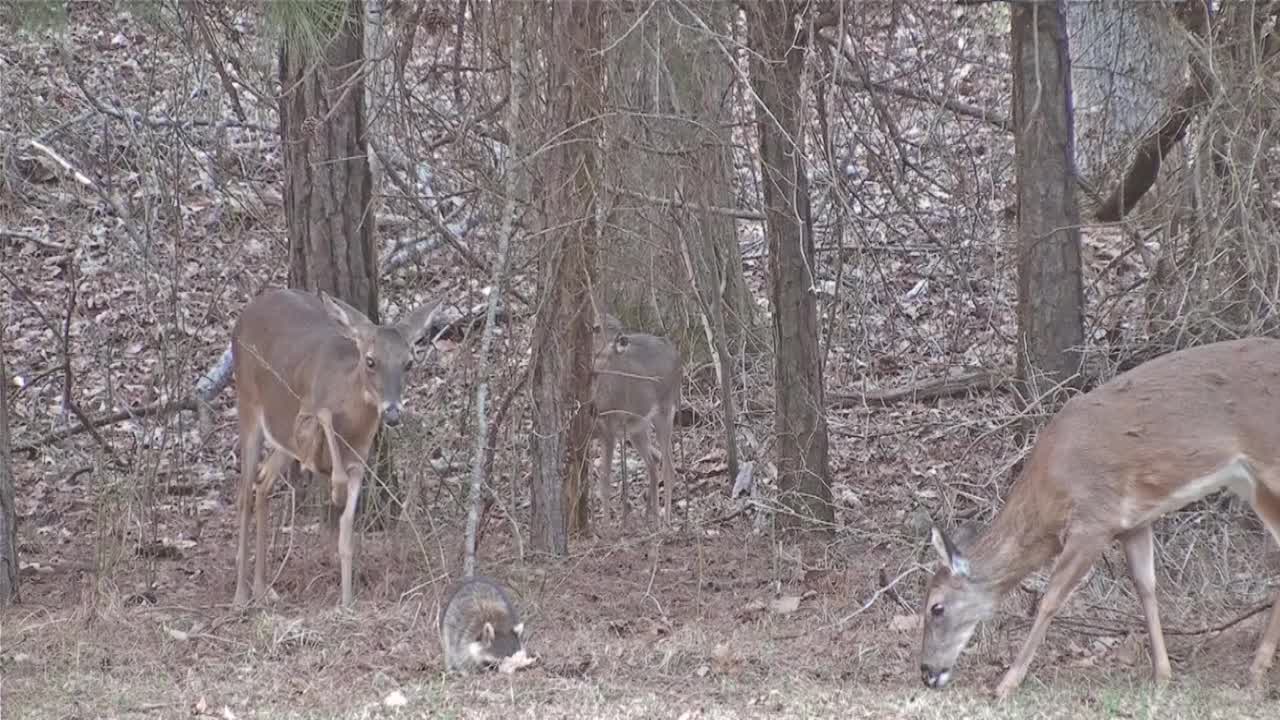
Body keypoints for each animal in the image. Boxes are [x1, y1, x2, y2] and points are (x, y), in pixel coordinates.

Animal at [225, 285, 435, 604]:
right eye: (370, 360)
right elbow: (323, 417)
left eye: (408, 362)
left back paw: (263, 589)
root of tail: (246, 312)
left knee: (263, 482)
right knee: (243, 493)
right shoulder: (303, 421)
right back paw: (240, 595)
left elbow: (346, 532)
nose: (392, 413)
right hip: (248, 403)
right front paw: (335, 488)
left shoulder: (359, 460)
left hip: (281, 442)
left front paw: (347, 601)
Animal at [591, 310, 686, 520]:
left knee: (668, 468)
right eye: (596, 327)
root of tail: (679, 359)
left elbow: (604, 481)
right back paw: (651, 515)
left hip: (665, 410)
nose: (622, 339)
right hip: (637, 428)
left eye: (617, 325)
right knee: (655, 462)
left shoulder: (608, 429)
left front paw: (606, 523)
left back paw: (665, 519)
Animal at [921, 338, 1280, 696]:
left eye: (936, 607)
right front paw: (1162, 675)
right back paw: (1257, 669)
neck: (1050, 497)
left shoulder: (1093, 520)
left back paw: (1256, 668)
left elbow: (1051, 599)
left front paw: (1006, 684)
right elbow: (1146, 587)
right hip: (1255, 486)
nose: (927, 673)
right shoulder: (1133, 522)